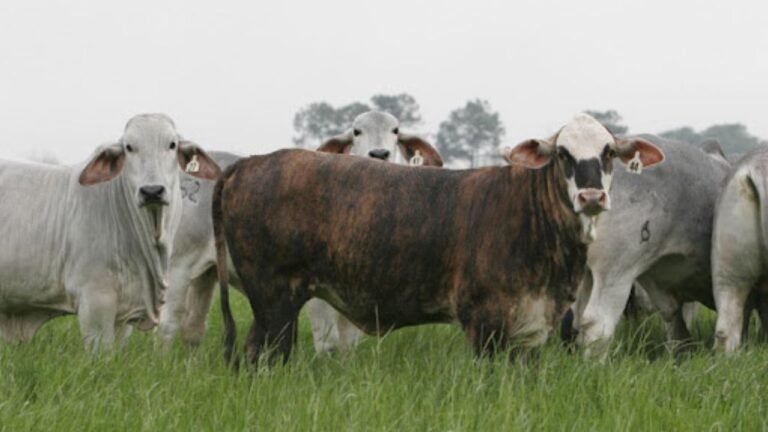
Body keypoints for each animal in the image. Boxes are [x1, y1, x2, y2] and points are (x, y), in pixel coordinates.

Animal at [157, 110, 443, 353]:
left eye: (395, 130)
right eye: (357, 131)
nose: (380, 153)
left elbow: (348, 345)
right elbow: (328, 343)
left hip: (207, 273)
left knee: (193, 326)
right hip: (178, 266)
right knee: (168, 324)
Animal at [212, 113, 664, 364]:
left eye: (608, 152)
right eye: (563, 154)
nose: (591, 196)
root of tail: (250, 163)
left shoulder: (531, 328)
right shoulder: (484, 322)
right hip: (274, 302)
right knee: (261, 355)